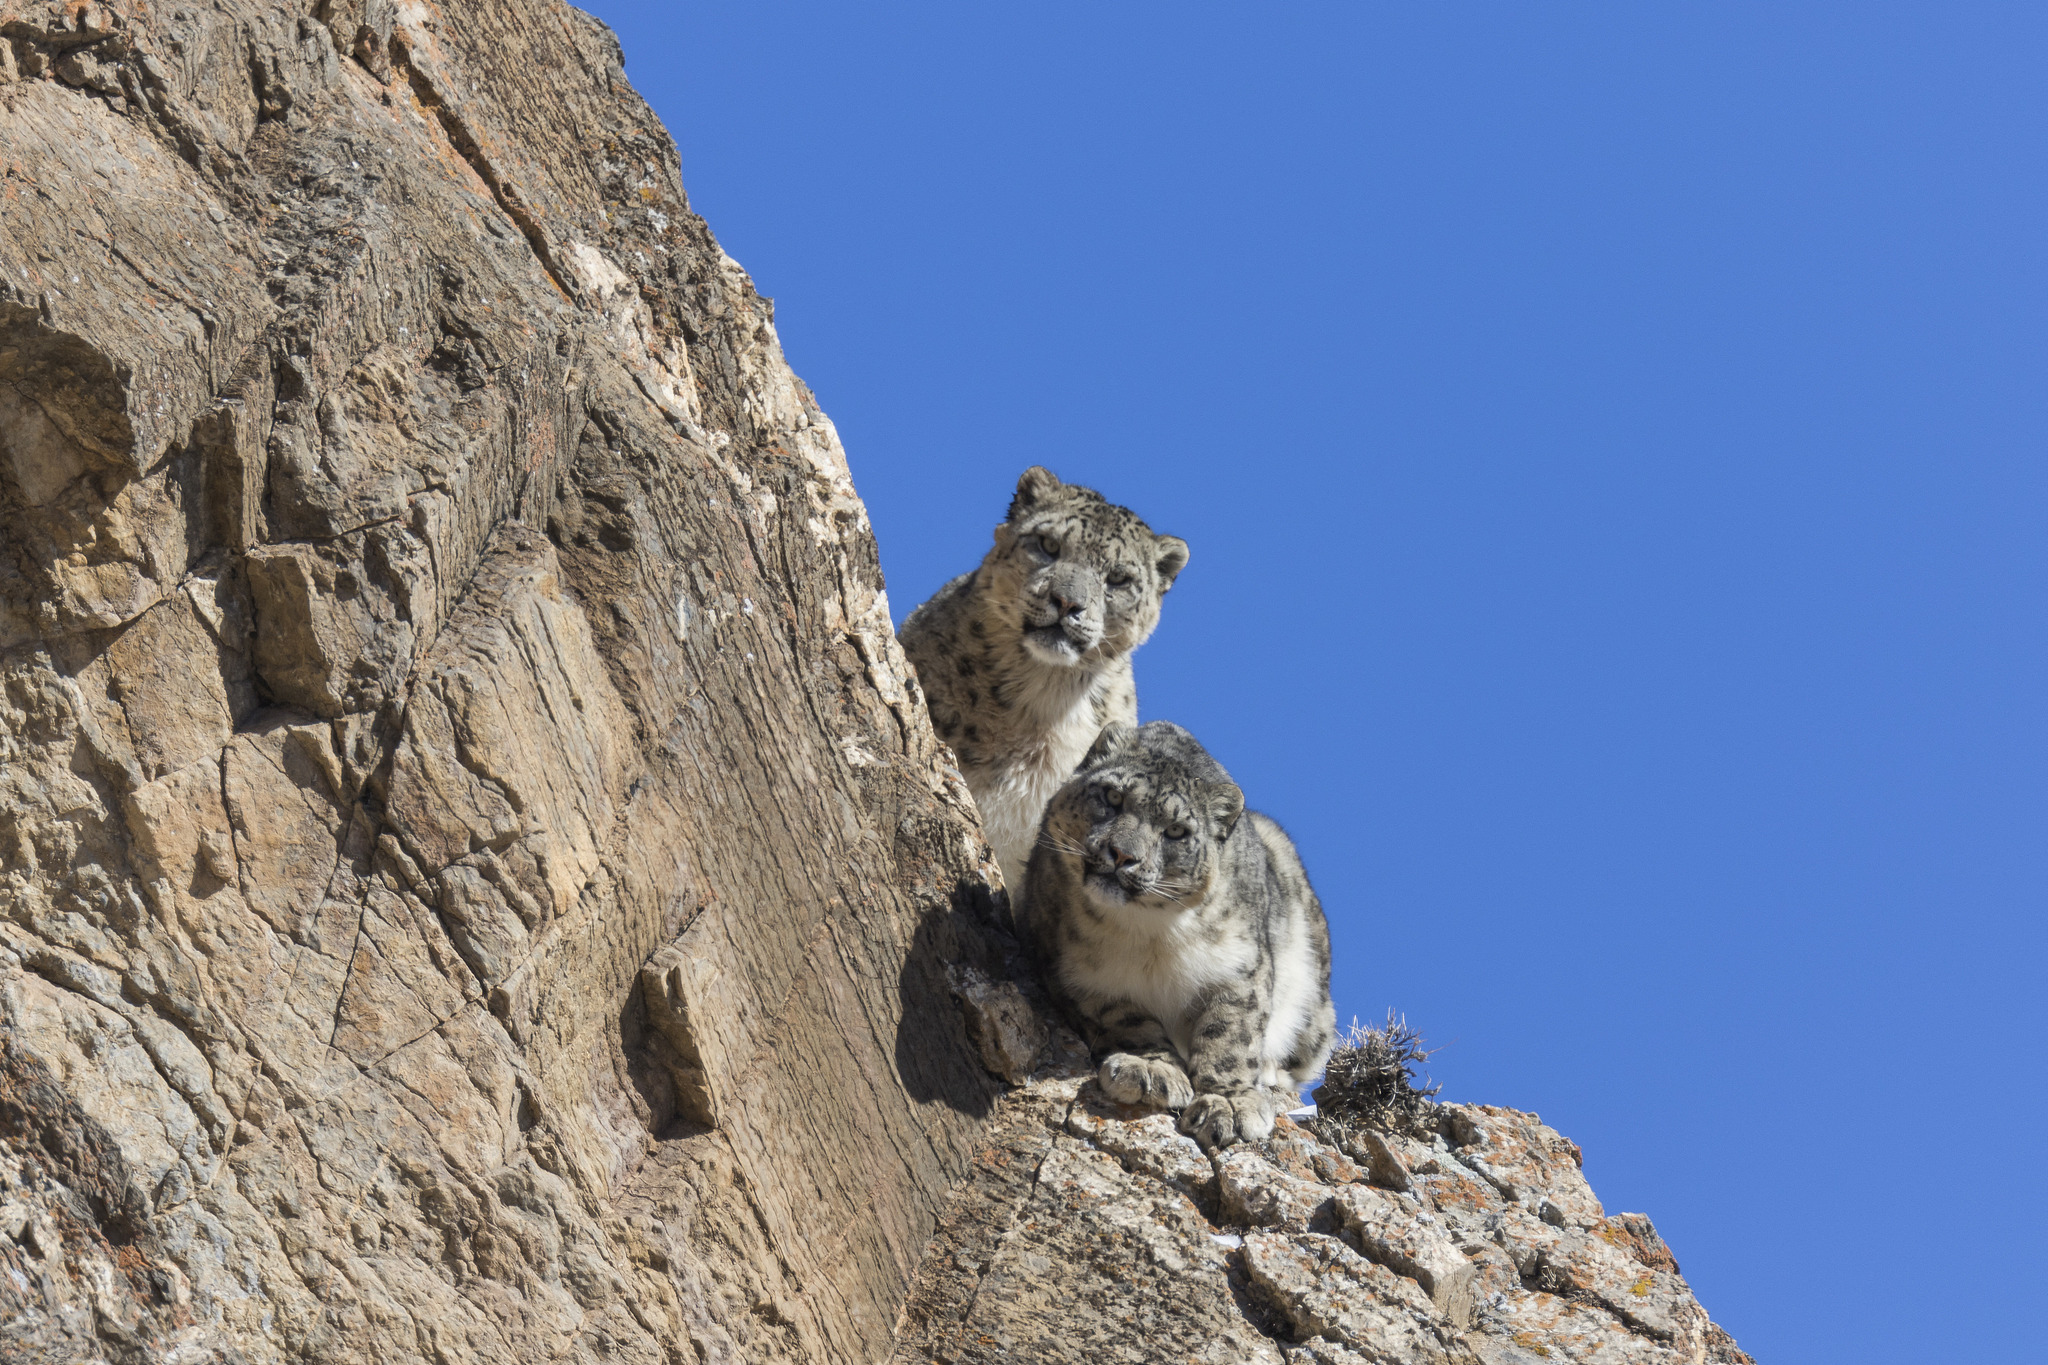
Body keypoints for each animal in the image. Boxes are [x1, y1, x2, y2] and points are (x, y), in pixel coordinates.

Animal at [1015, 720, 1335, 1146]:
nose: (1122, 854)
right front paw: (1152, 1069)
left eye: (1176, 831)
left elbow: (1230, 1036)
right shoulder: (1081, 981)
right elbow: (1129, 1023)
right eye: (1112, 796)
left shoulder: (1239, 970)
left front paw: (1228, 1102)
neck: (1147, 936)